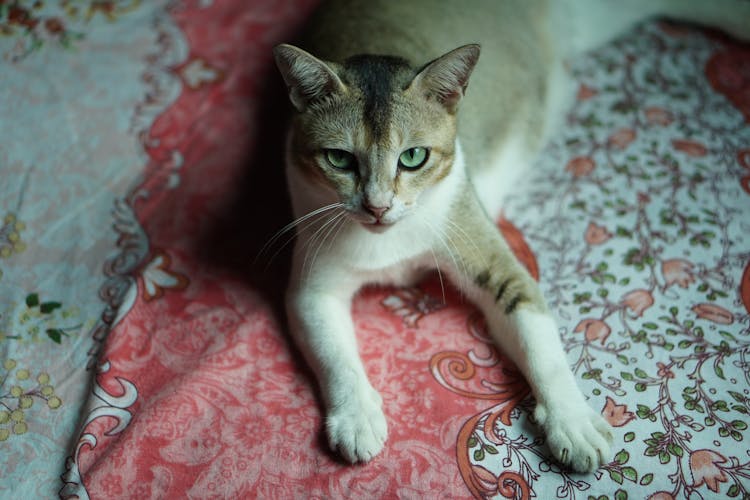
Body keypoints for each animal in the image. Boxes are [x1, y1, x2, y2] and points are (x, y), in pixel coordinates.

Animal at [272, 0, 750, 472]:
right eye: (339, 159)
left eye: (413, 157)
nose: (377, 206)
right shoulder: (311, 287)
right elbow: (336, 355)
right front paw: (355, 417)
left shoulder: (487, 249)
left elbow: (539, 339)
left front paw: (572, 422)